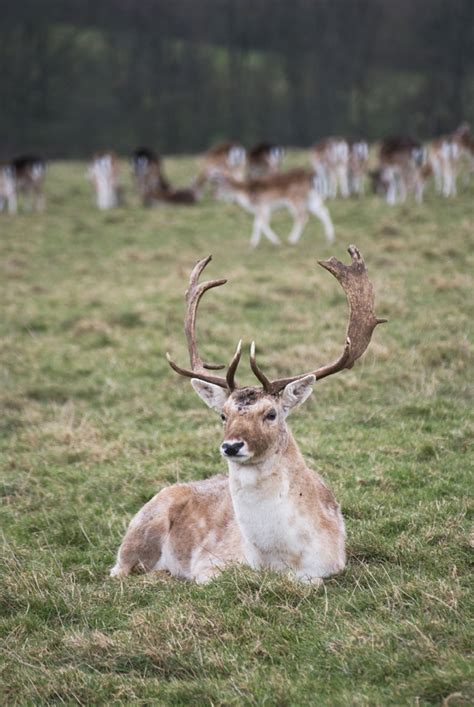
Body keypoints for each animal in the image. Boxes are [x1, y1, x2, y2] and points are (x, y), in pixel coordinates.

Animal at [111, 249, 386, 588]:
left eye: (271, 413)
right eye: (222, 414)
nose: (231, 446)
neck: (278, 560)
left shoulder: (333, 564)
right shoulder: (210, 564)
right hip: (140, 531)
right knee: (119, 570)